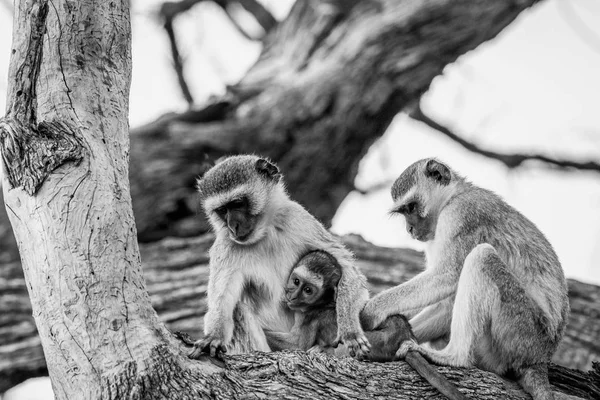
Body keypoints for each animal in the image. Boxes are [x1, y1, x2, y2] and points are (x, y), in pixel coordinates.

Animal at [189, 155, 370, 358]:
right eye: (222, 210)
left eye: (237, 204)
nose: (232, 225)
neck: (265, 233)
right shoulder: (225, 245)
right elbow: (223, 301)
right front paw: (214, 336)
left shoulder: (299, 219)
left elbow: (348, 270)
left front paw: (350, 332)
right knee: (238, 309)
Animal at [266, 250, 468, 400]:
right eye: (296, 281)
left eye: (308, 290)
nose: (292, 295)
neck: (322, 303)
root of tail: (405, 335)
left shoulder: (309, 317)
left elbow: (297, 345)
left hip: (380, 341)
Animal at [358, 158, 568, 400]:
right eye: (403, 212)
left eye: (411, 207)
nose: (409, 229)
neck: (454, 195)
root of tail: (540, 359)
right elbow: (447, 301)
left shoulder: (461, 215)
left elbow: (448, 275)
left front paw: (371, 312)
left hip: (522, 333)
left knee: (481, 257)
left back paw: (454, 357)